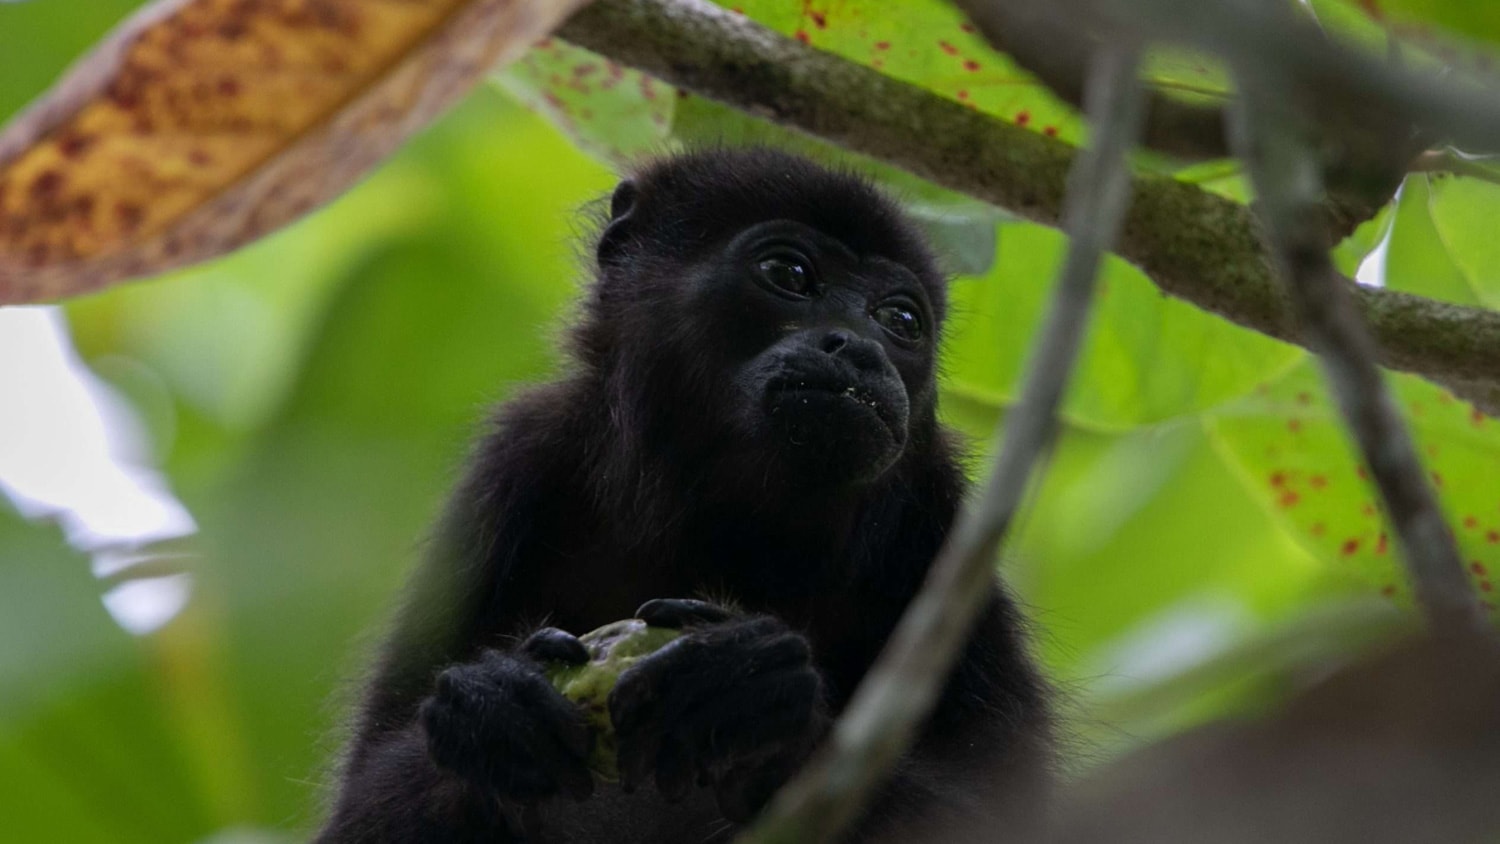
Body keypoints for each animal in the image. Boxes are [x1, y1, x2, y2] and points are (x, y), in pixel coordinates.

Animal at [317, 148, 1052, 843]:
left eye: (900, 319)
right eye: (790, 275)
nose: (861, 351)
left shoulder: (938, 523)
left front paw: (753, 695)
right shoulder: (513, 467)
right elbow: (358, 808)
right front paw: (490, 712)